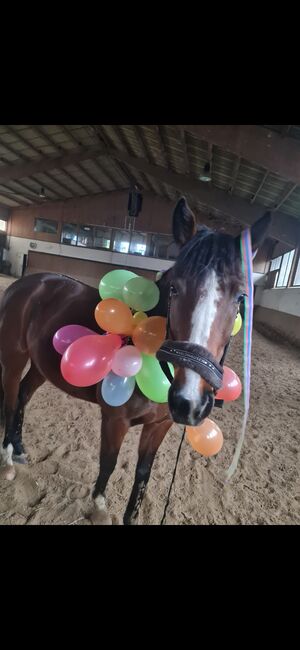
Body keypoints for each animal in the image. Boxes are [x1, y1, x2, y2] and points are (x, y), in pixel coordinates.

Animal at [0, 196, 272, 520]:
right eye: (174, 288)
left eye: (241, 297)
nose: (190, 402)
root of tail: (27, 284)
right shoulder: (114, 420)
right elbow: (108, 463)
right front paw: (99, 509)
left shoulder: (160, 425)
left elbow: (143, 475)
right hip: (14, 359)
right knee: (11, 399)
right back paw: (8, 460)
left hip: (42, 367)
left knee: (23, 397)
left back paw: (19, 449)